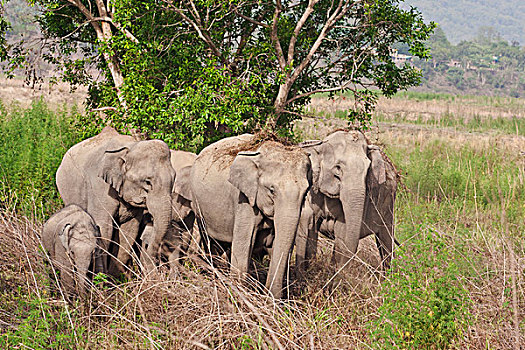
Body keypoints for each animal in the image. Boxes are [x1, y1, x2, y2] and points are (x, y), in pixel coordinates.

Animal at [55, 126, 174, 274]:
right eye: (147, 182)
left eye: (174, 180)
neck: (131, 147)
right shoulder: (99, 186)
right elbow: (104, 226)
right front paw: (103, 277)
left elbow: (129, 230)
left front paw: (116, 277)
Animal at [182, 134, 310, 298]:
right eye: (272, 190)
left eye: (306, 193)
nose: (270, 297)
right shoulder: (244, 199)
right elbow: (244, 244)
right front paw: (239, 295)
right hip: (199, 207)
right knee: (211, 243)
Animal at [292, 130, 396, 278]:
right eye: (338, 168)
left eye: (367, 170)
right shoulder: (312, 190)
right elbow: (312, 226)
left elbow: (342, 230)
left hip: (388, 207)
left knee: (385, 242)